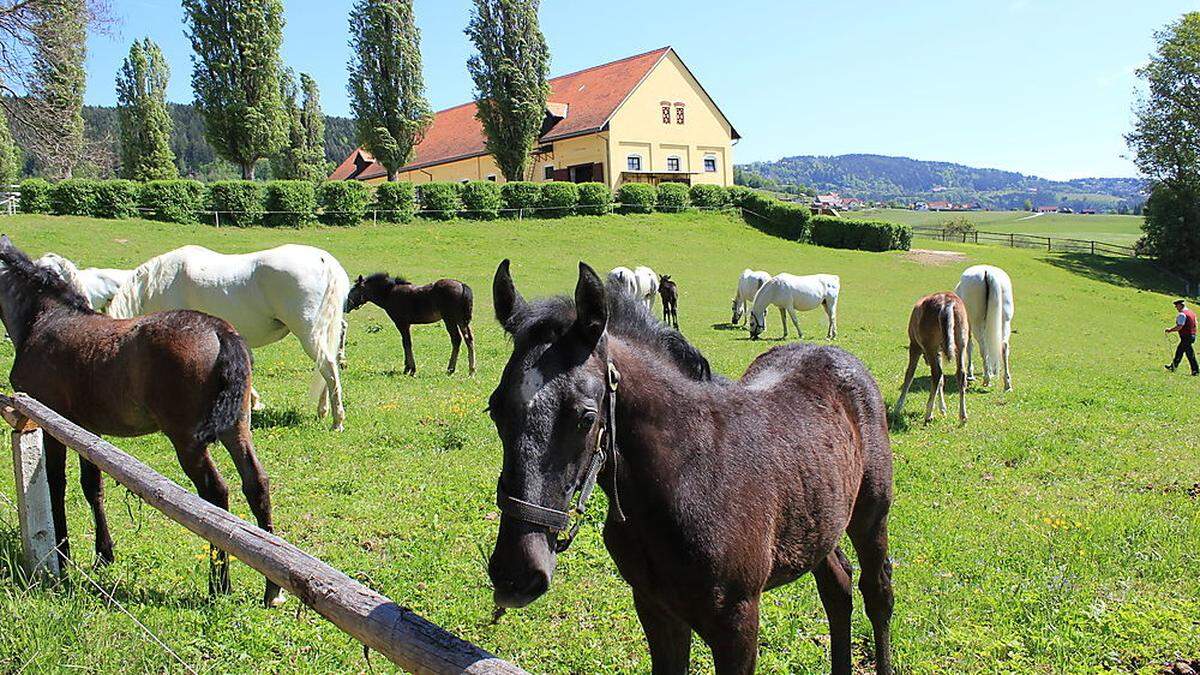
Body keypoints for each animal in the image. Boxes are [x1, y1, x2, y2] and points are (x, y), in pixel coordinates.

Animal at [0, 235, 280, 605]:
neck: (44, 319)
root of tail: (220, 331)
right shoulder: (87, 429)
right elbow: (92, 486)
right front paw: (104, 554)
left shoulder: (50, 423)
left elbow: (54, 485)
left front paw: (62, 555)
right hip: (237, 427)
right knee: (256, 483)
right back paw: (273, 589)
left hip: (187, 440)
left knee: (216, 494)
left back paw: (219, 584)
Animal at [106, 243, 350, 427]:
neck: (157, 284)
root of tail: (324, 260)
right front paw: (253, 401)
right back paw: (323, 411)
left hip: (309, 334)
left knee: (328, 367)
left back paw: (337, 421)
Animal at [345, 273, 475, 379]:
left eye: (353, 290)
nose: (345, 306)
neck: (389, 294)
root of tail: (462, 285)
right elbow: (406, 343)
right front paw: (408, 368)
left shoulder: (402, 323)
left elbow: (406, 343)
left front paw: (410, 369)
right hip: (461, 320)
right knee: (469, 339)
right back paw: (471, 371)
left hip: (449, 319)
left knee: (456, 339)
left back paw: (451, 369)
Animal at [484, 258, 892, 672]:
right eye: (494, 408)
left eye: (586, 417)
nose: (516, 574)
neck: (688, 475)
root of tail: (837, 356)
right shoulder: (655, 608)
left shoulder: (738, 623)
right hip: (819, 518)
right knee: (838, 586)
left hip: (871, 516)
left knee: (877, 592)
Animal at [897, 289, 969, 420]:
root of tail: (947, 303)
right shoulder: (938, 352)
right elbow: (941, 381)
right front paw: (943, 408)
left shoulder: (915, 346)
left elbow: (909, 374)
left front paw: (898, 406)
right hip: (961, 340)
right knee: (960, 373)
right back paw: (963, 416)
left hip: (929, 345)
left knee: (936, 373)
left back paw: (928, 414)